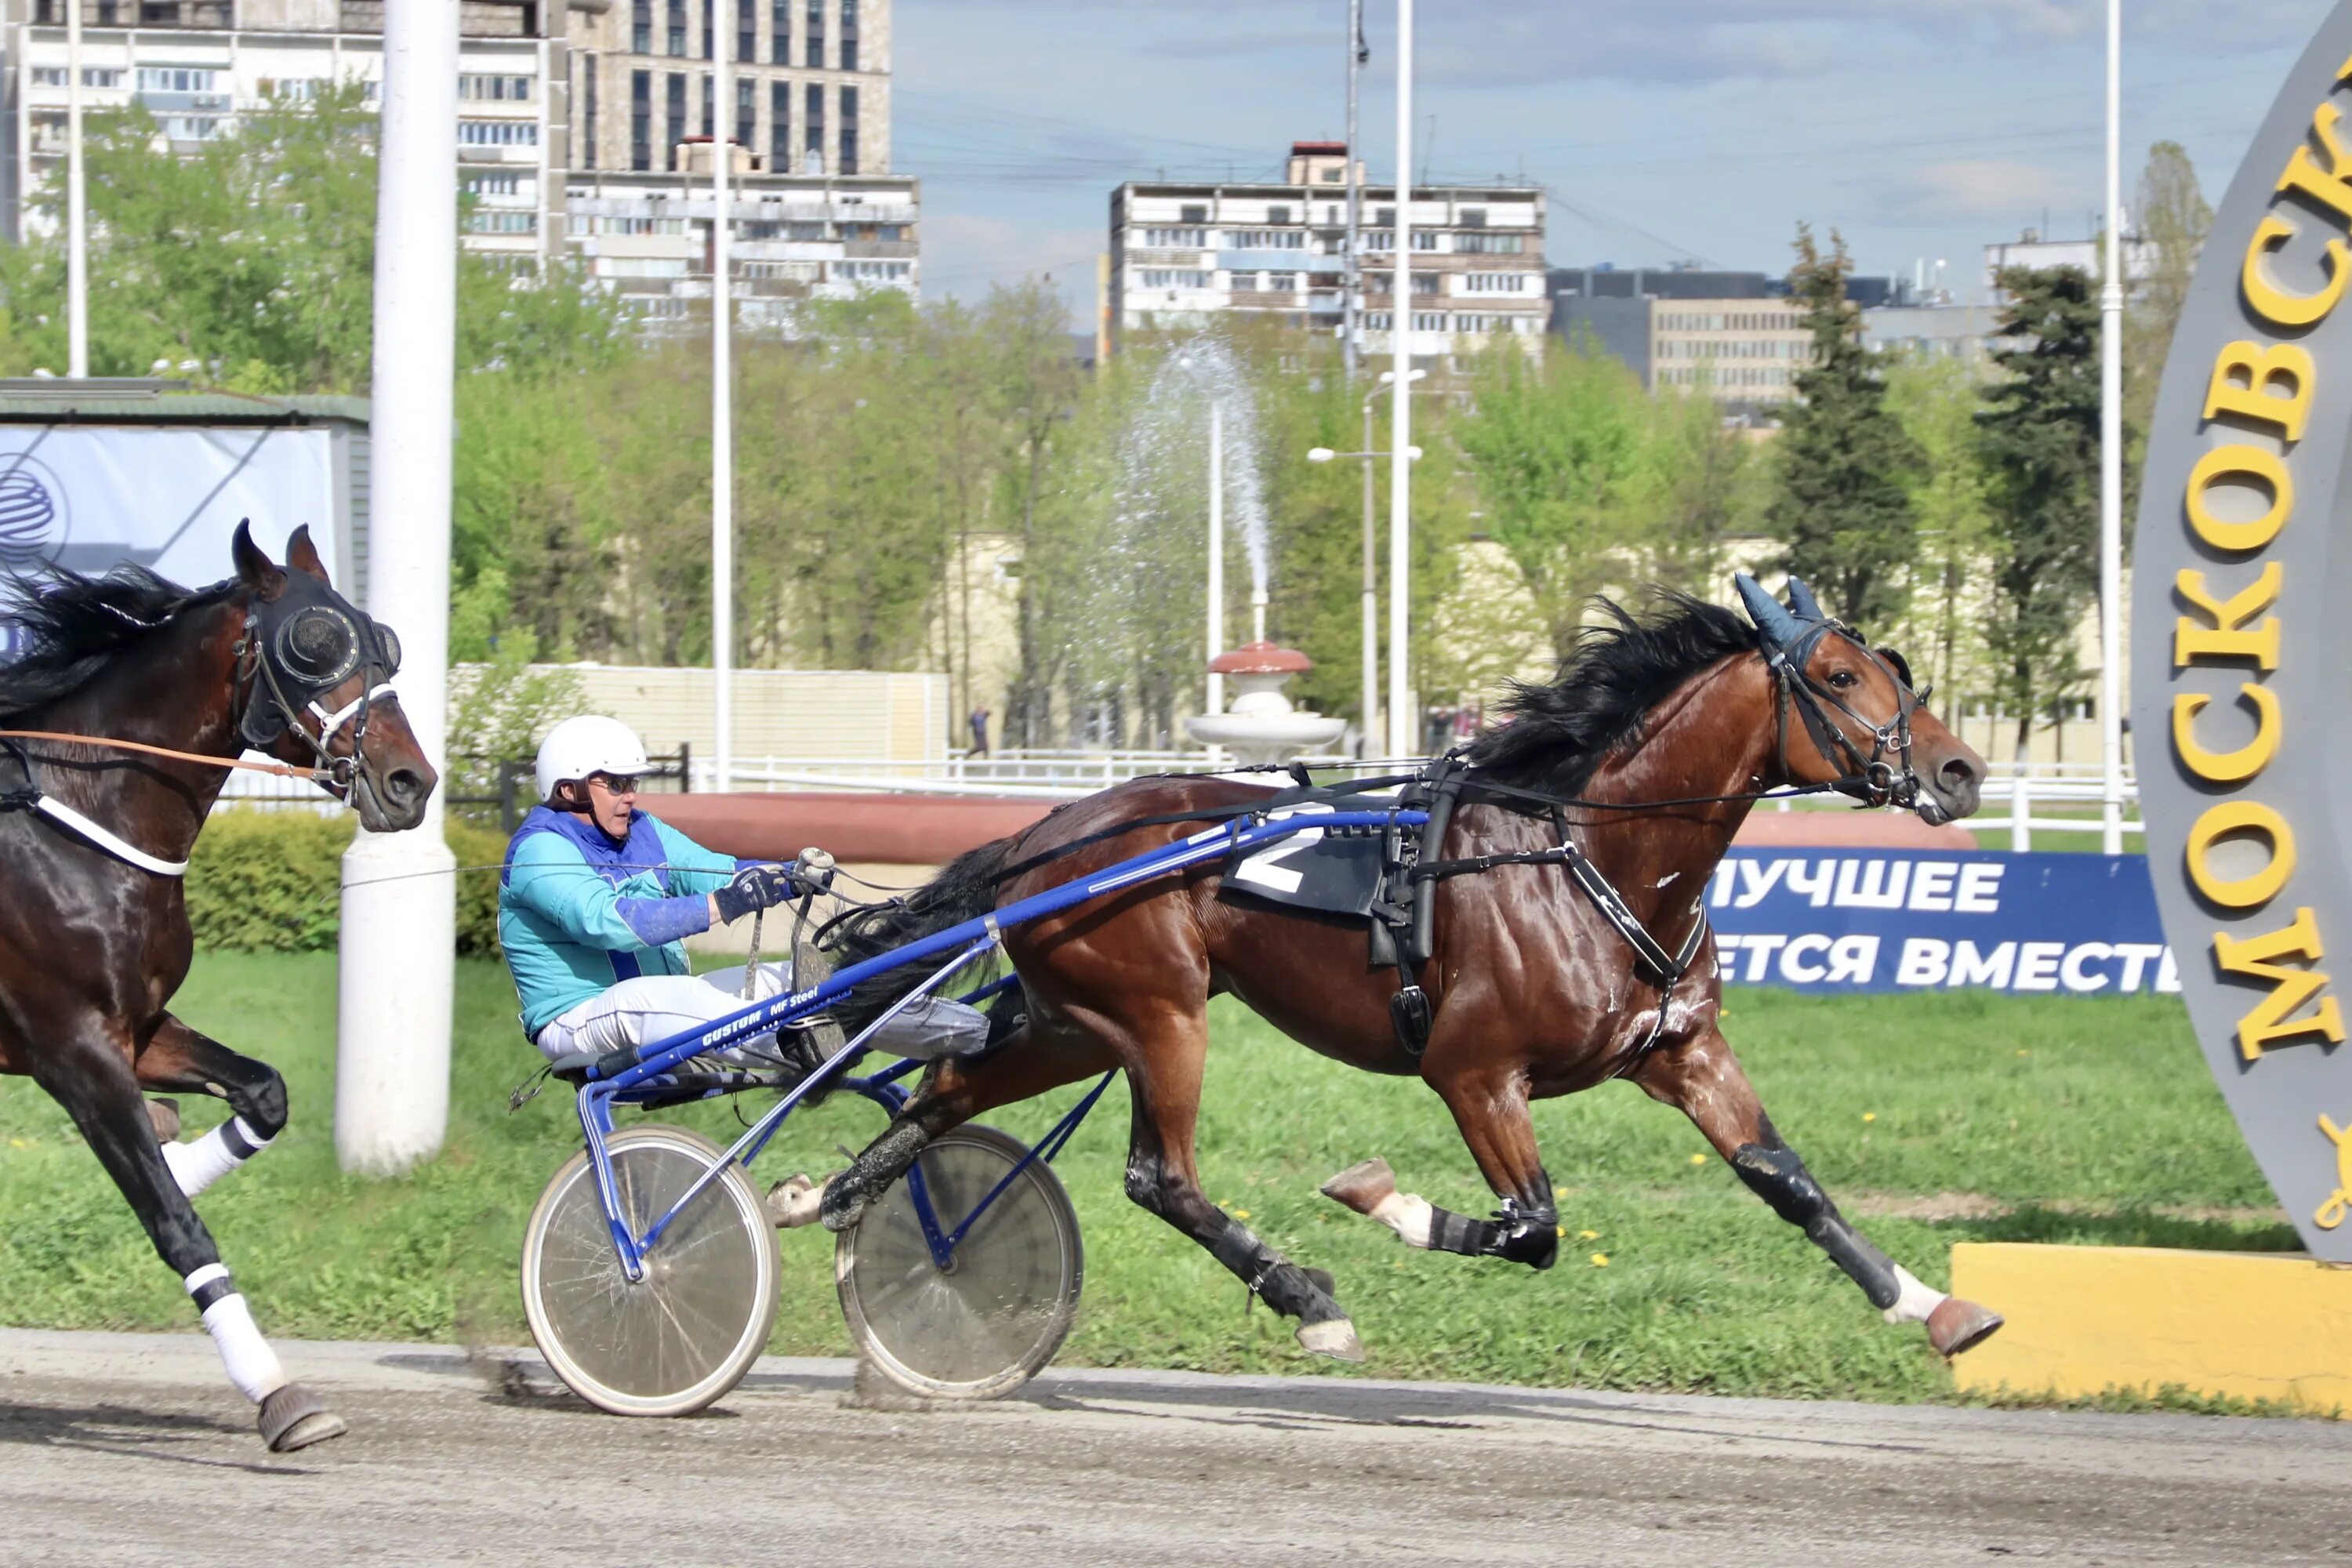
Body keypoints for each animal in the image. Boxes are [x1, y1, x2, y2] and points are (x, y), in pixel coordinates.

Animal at [0, 524, 437, 1448]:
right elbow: (176, 1224)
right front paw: (278, 1392)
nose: (409, 782)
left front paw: (175, 1143)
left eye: (383, 642)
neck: (71, 816)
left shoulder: (137, 1025)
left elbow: (262, 1094)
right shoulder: (72, 1048)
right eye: (315, 643)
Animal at [823, 583, 2004, 1363]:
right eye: (1840, 677)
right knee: (1161, 1177)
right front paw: (1375, 1195)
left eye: (1897, 670)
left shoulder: (1681, 1049)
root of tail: (1049, 829)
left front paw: (1934, 1305)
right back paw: (1307, 1297)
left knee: (949, 1090)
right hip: (1159, 1014)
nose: (1961, 770)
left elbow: (1787, 1178)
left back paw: (841, 1198)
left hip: (1076, 1020)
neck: (1587, 855)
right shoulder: (1473, 1070)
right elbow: (1533, 1227)